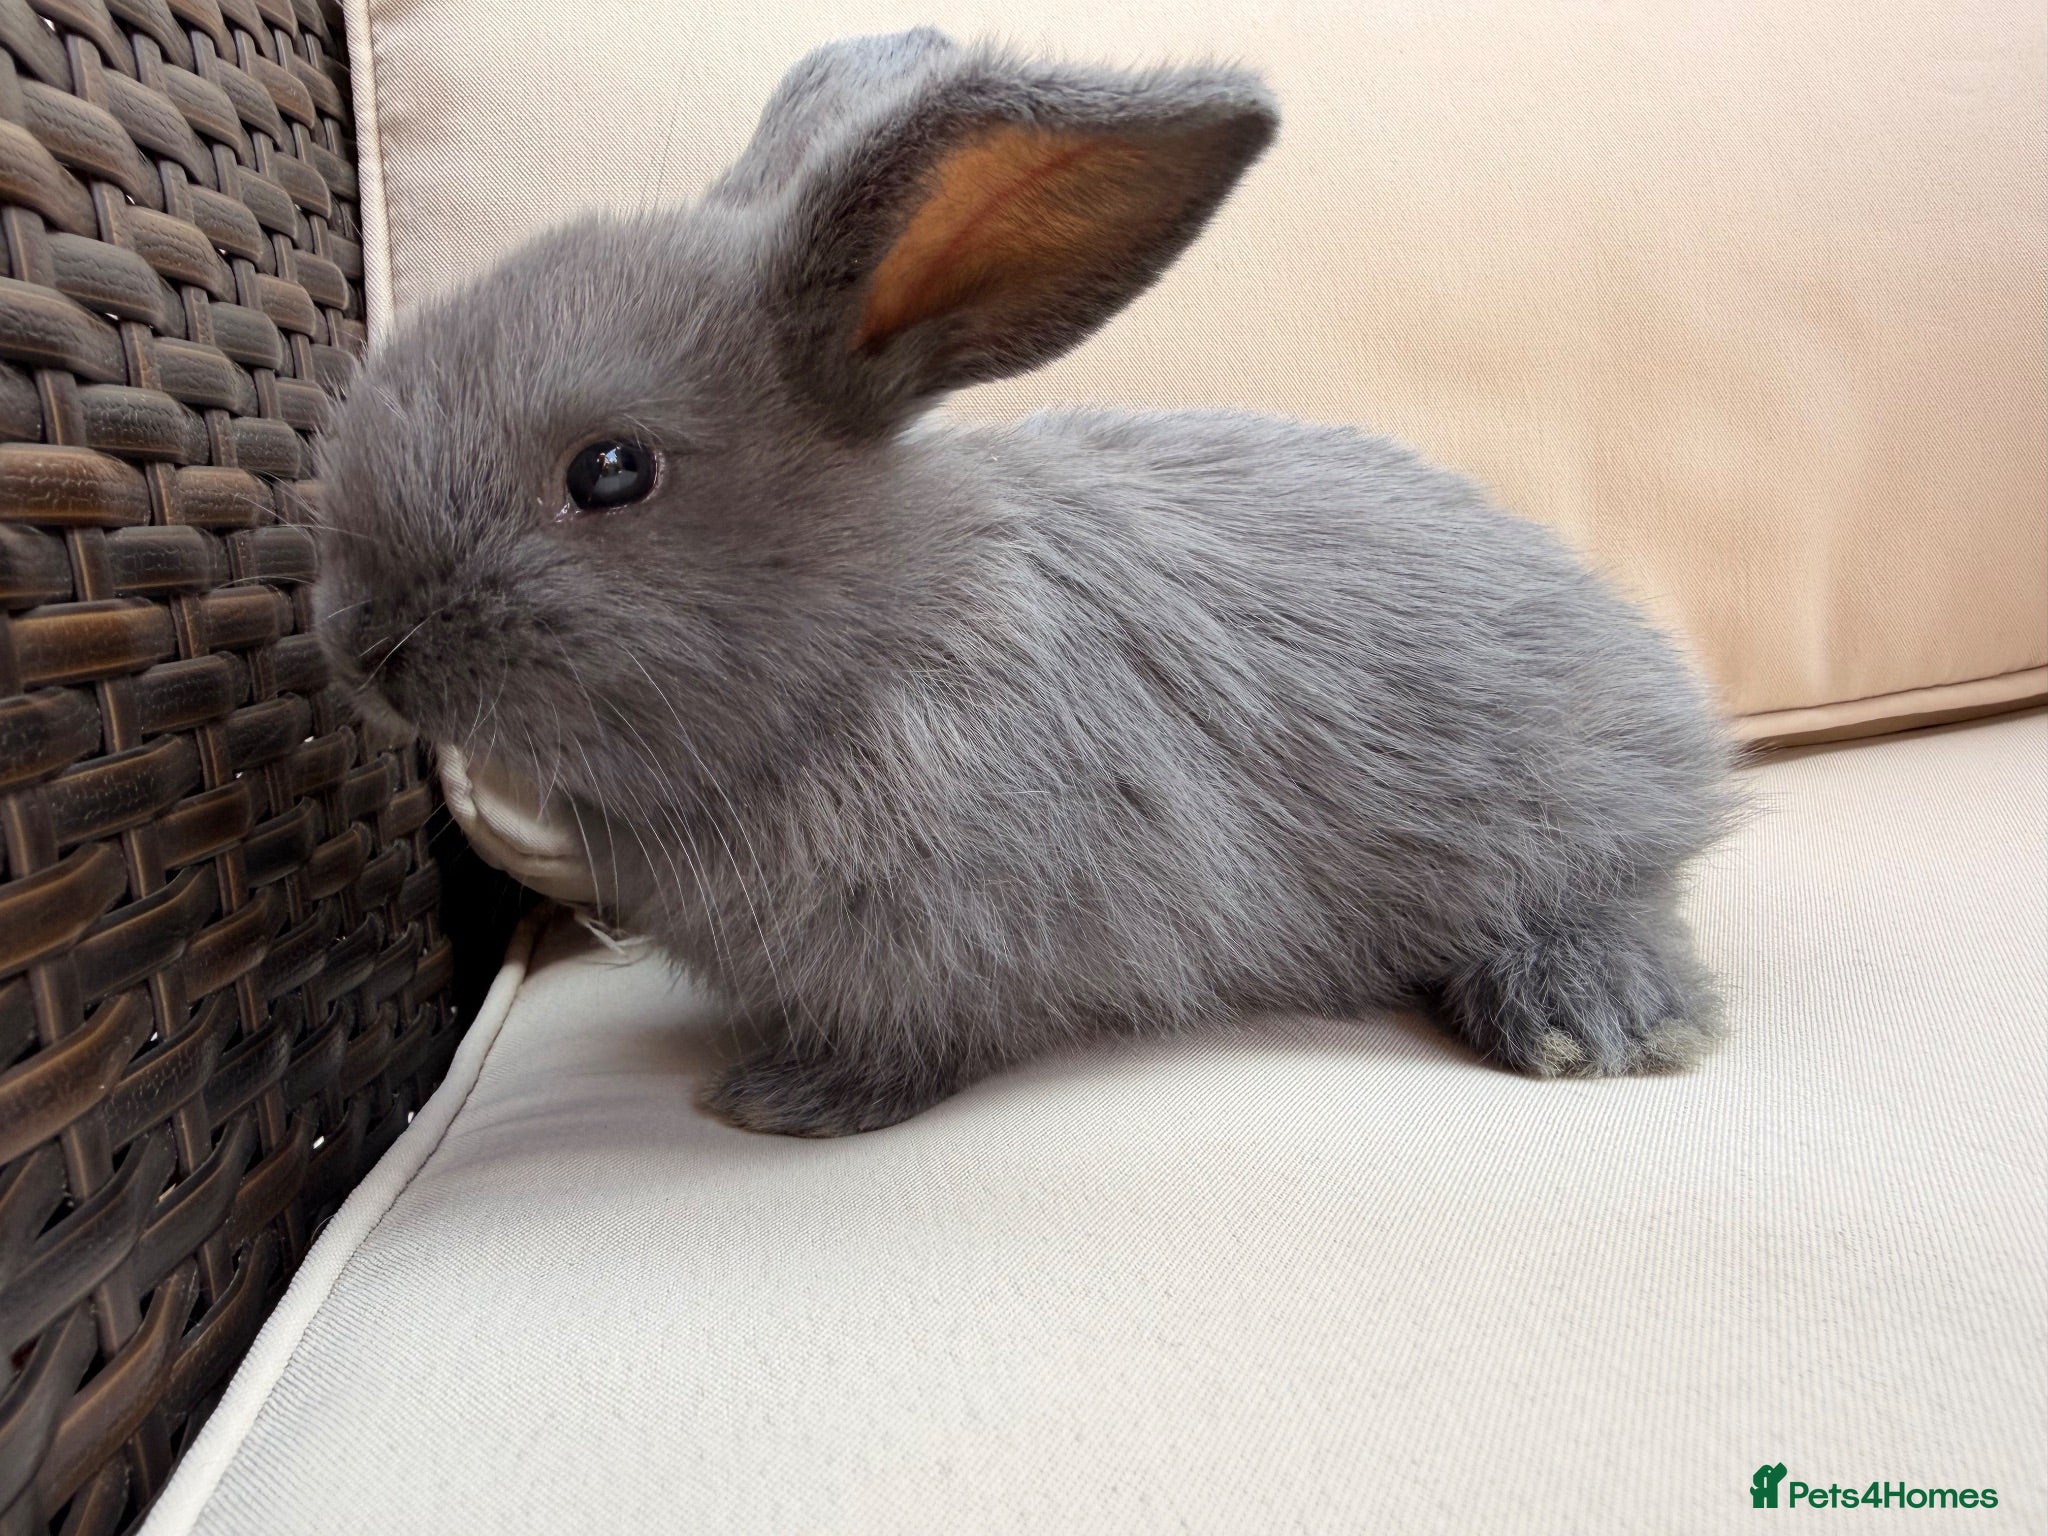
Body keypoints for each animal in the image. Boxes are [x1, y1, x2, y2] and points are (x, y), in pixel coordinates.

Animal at [313, 28, 1736, 1137]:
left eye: (609, 471)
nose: (363, 645)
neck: (871, 640)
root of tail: (1673, 703)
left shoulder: (961, 945)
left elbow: (921, 1045)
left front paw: (784, 1102)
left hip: (1562, 824)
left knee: (1615, 899)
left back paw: (1592, 1025)